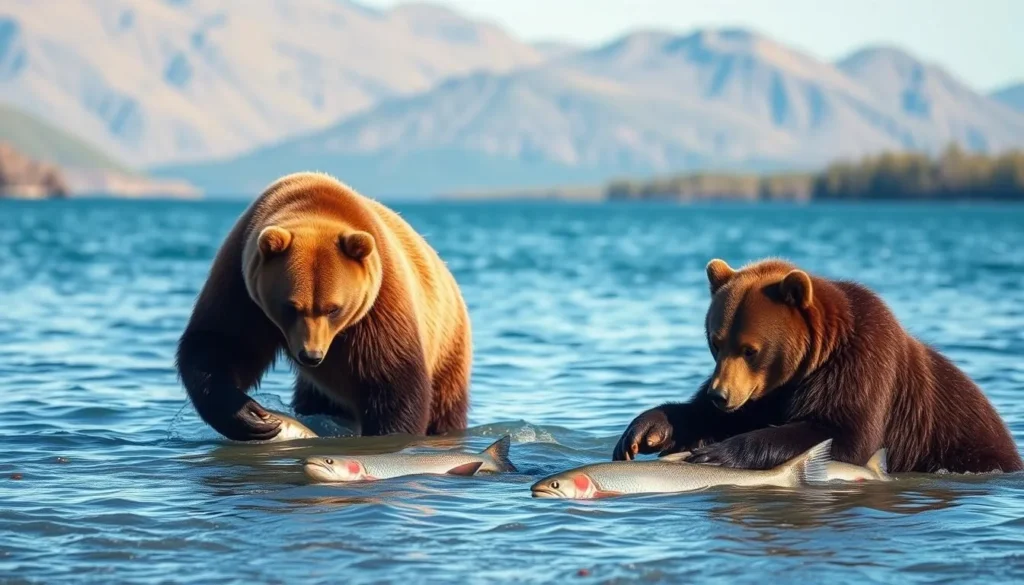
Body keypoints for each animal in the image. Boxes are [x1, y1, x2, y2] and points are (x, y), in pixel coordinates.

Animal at [176, 172, 472, 441]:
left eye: (333, 308)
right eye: (290, 306)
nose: (311, 355)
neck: (313, 203)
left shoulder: (379, 303)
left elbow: (392, 377)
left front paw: (390, 433)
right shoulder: (241, 285)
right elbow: (221, 344)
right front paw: (250, 416)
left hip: (448, 348)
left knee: (444, 404)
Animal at [613, 257, 1022, 474]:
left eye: (750, 349)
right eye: (716, 341)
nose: (720, 395)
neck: (812, 364)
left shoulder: (862, 368)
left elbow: (843, 435)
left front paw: (718, 452)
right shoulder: (767, 392)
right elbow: (711, 415)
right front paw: (645, 430)